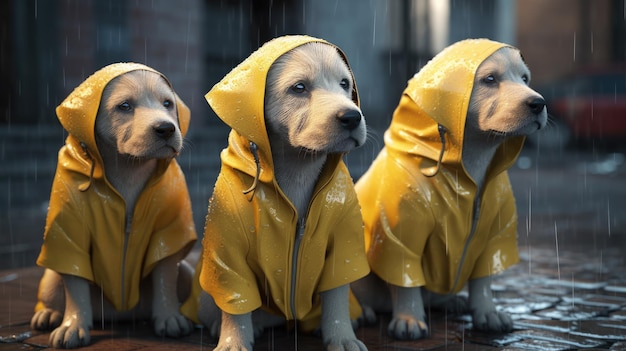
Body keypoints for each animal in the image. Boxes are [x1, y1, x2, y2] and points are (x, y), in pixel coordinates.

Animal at [183, 36, 370, 351]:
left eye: (345, 84)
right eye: (299, 88)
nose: (352, 117)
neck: (297, 168)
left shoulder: (344, 244)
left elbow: (336, 297)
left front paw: (342, 337)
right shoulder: (227, 251)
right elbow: (236, 305)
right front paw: (234, 341)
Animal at [352, 39, 544, 340]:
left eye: (525, 79)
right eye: (490, 79)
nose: (539, 103)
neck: (470, 170)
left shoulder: (495, 235)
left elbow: (483, 278)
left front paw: (487, 311)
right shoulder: (400, 236)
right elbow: (406, 282)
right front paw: (409, 318)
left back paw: (452, 302)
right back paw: (363, 313)